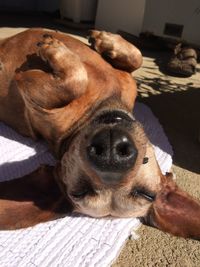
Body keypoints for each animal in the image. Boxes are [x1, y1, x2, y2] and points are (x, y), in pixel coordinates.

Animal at [0, 28, 199, 240]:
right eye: (80, 192)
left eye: (145, 194)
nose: (111, 152)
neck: (102, 103)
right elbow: (134, 59)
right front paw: (103, 40)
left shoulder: (29, 89)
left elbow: (80, 80)